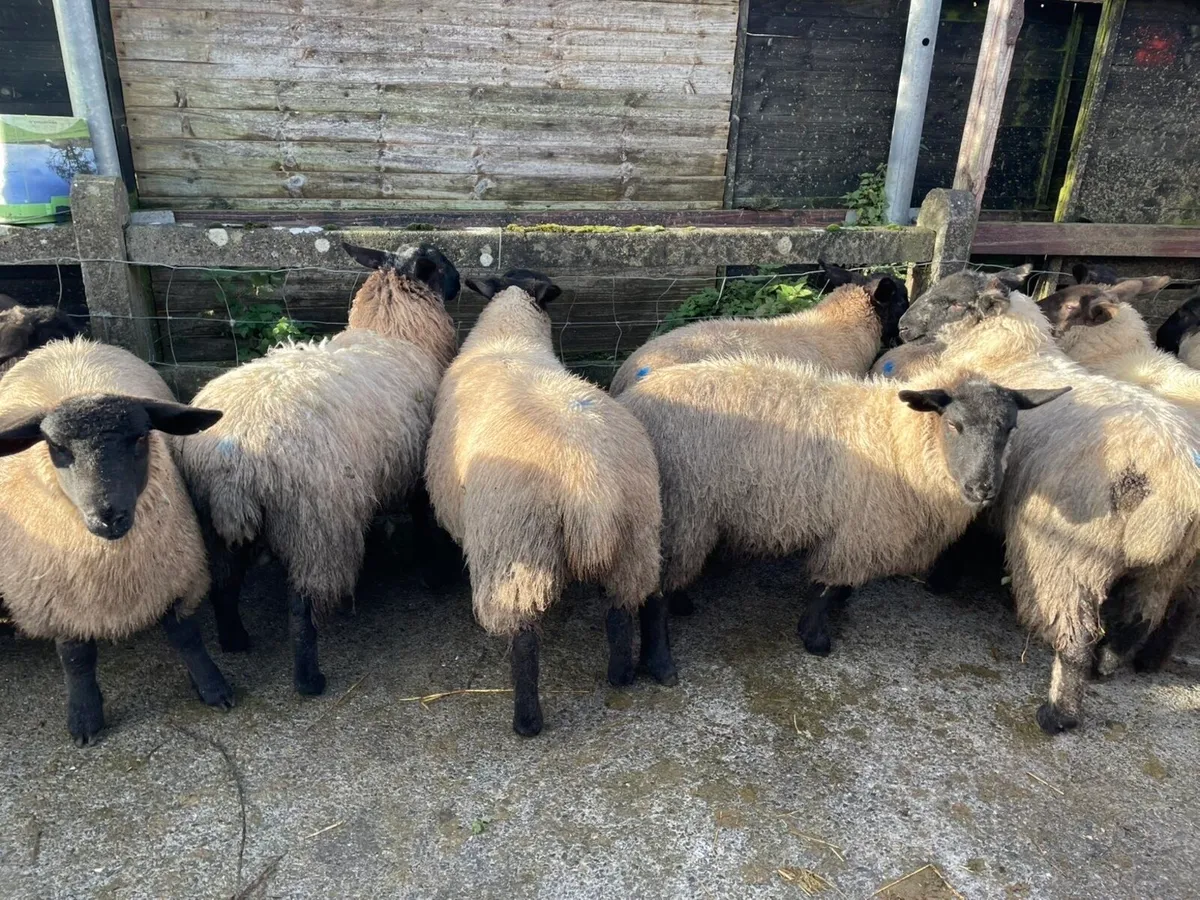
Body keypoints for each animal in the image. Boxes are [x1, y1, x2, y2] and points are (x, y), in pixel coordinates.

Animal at [0, 338, 229, 745]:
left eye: (139, 437)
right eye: (56, 447)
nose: (108, 516)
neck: (113, 567)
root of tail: (68, 343)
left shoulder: (173, 576)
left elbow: (186, 636)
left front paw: (211, 686)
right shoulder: (59, 602)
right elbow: (76, 659)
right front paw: (84, 716)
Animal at [176, 243, 460, 696]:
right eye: (441, 262)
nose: (461, 282)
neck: (395, 332)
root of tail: (229, 456)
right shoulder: (415, 466)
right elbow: (422, 518)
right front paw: (433, 573)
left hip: (212, 523)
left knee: (223, 584)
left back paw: (235, 640)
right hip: (314, 522)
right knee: (301, 608)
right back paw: (308, 679)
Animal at [425, 270, 675, 737]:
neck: (509, 338)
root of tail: (589, 479)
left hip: (515, 545)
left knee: (524, 638)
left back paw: (527, 721)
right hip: (641, 524)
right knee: (636, 601)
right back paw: (633, 673)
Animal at [617, 348, 1067, 653]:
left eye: (1010, 428)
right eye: (954, 424)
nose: (983, 488)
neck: (896, 439)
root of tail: (632, 402)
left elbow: (838, 586)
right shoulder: (857, 530)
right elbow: (829, 586)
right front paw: (815, 637)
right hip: (686, 511)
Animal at [897, 268, 1200, 733]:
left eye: (953, 302)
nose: (902, 327)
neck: (1012, 354)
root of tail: (1177, 482)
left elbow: (964, 538)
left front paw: (940, 581)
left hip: (1066, 555)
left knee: (1077, 635)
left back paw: (1059, 713)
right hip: (1169, 566)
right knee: (1146, 617)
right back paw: (1114, 666)